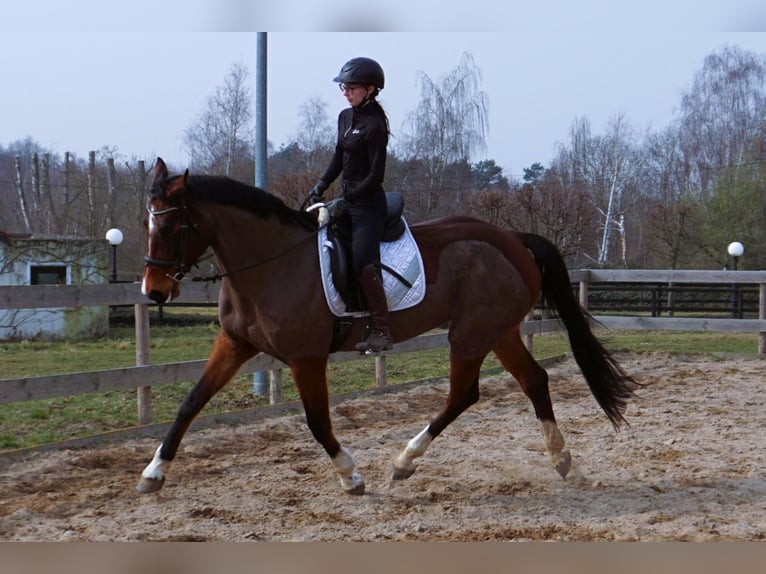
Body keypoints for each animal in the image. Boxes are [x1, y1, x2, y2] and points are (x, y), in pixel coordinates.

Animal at [136, 160, 636, 498]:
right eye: (146, 223)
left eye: (174, 226)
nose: (153, 291)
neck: (273, 264)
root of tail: (514, 240)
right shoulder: (234, 344)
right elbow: (190, 402)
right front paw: (153, 474)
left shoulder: (305, 357)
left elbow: (317, 420)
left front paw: (351, 475)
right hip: (499, 332)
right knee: (533, 379)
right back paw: (563, 461)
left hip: (470, 335)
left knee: (463, 395)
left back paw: (403, 462)